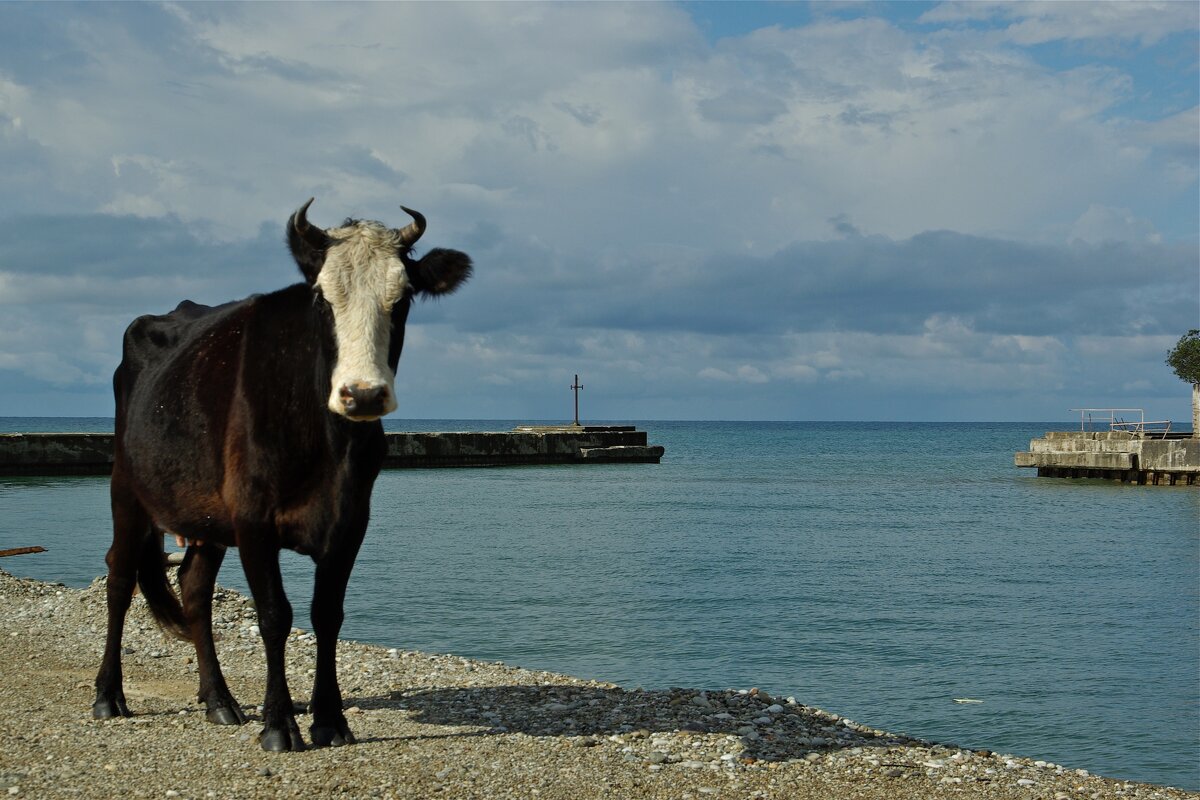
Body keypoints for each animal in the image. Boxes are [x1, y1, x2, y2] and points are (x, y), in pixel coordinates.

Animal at [92, 200, 472, 753]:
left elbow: (327, 613)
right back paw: (109, 697)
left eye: (401, 299)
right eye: (322, 299)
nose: (362, 394)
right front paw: (279, 724)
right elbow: (275, 614)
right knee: (120, 578)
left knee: (194, 587)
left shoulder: (351, 518)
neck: (327, 444)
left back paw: (219, 701)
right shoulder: (253, 517)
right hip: (126, 485)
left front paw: (330, 720)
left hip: (207, 514)